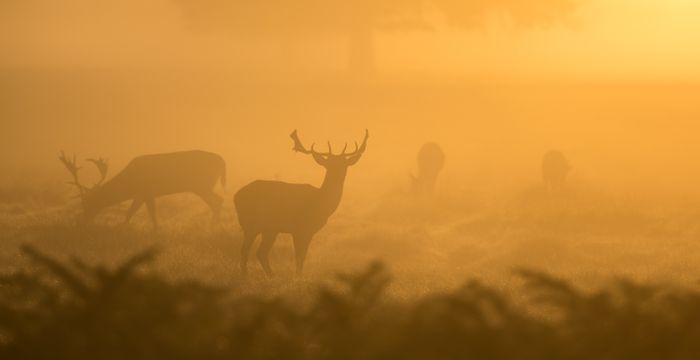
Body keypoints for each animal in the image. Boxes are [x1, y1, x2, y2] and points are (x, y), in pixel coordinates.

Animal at [60, 150, 226, 229]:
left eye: (88, 203)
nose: (81, 222)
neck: (130, 183)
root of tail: (222, 161)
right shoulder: (142, 194)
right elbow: (135, 212)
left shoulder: (147, 191)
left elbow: (144, 212)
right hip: (202, 186)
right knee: (217, 201)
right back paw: (215, 225)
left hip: (202, 185)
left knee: (218, 200)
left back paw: (212, 227)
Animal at [234, 129, 370, 276]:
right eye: (329, 164)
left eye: (344, 164)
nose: (337, 176)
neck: (321, 203)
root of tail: (236, 196)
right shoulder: (299, 228)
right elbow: (299, 256)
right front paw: (298, 276)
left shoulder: (309, 231)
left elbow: (303, 256)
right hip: (251, 224)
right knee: (246, 251)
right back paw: (247, 275)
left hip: (269, 228)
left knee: (260, 252)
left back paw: (270, 275)